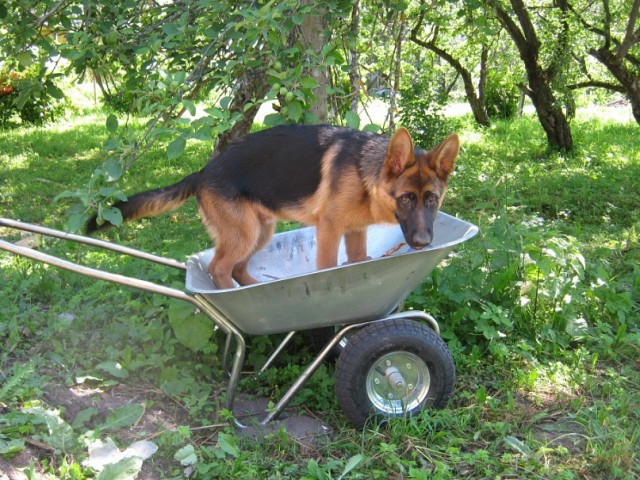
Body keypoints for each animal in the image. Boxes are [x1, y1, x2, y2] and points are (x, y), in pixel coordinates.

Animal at [89, 124, 460, 288]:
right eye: (406, 198)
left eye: (432, 199)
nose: (423, 243)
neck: (364, 173)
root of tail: (203, 171)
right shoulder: (329, 231)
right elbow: (328, 268)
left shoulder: (355, 233)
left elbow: (357, 263)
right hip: (244, 233)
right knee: (219, 268)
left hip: (260, 232)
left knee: (237, 268)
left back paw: (255, 290)